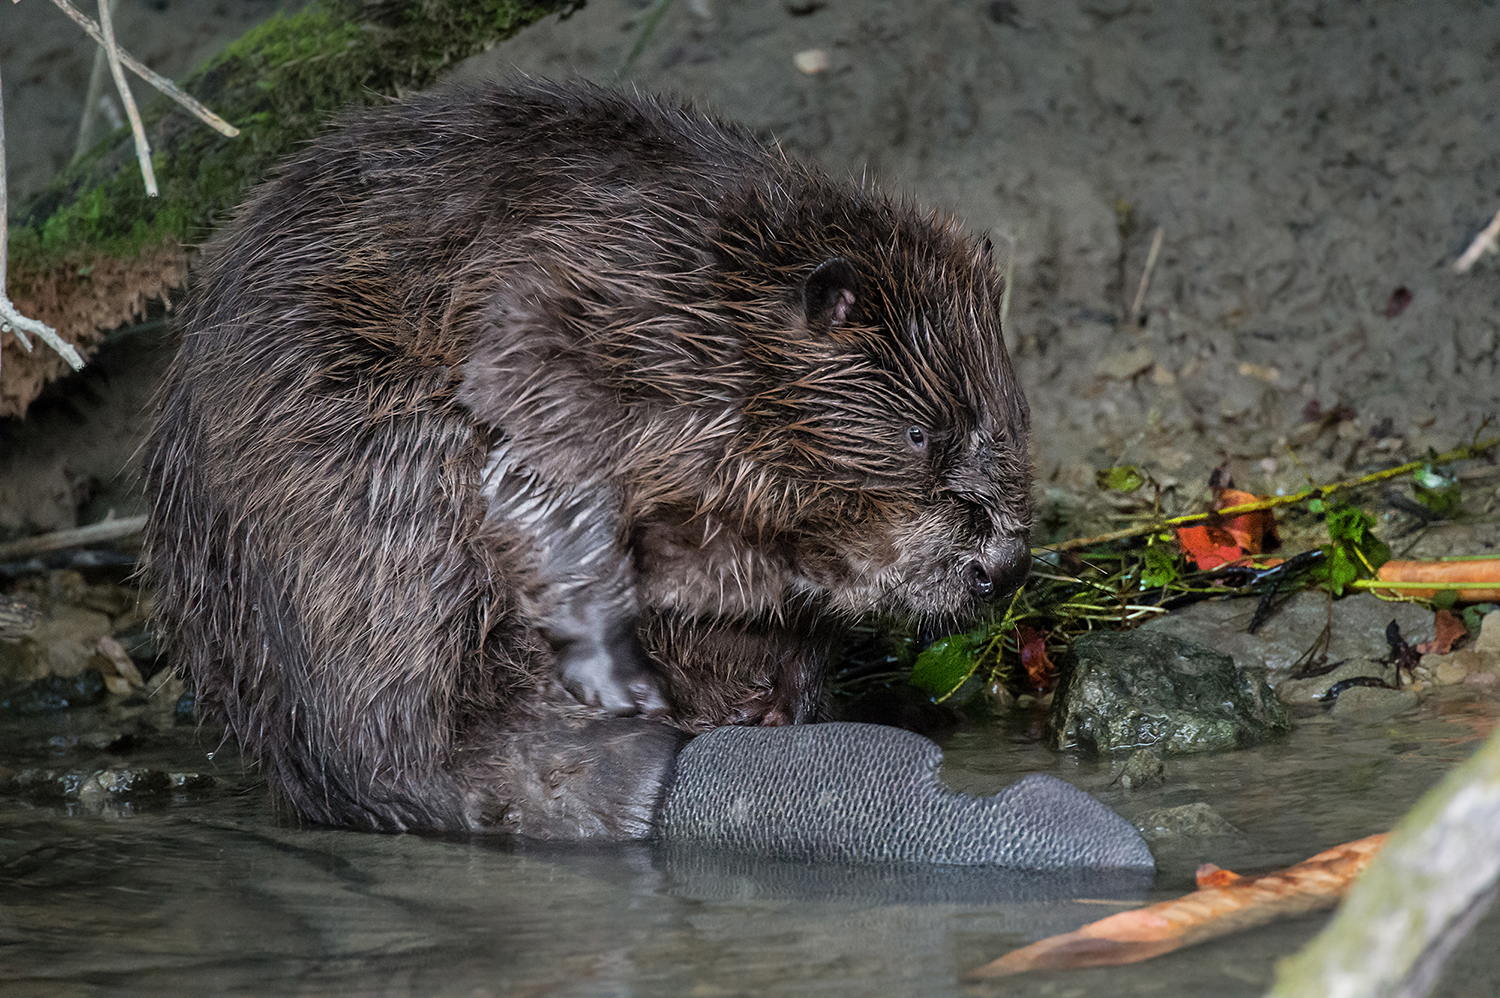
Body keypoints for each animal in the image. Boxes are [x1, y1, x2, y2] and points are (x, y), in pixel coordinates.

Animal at [141, 81, 1032, 834]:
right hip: (375, 481)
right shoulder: (569, 325)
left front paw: (777, 698)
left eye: (1016, 420)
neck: (707, 297)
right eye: (921, 434)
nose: (1003, 566)